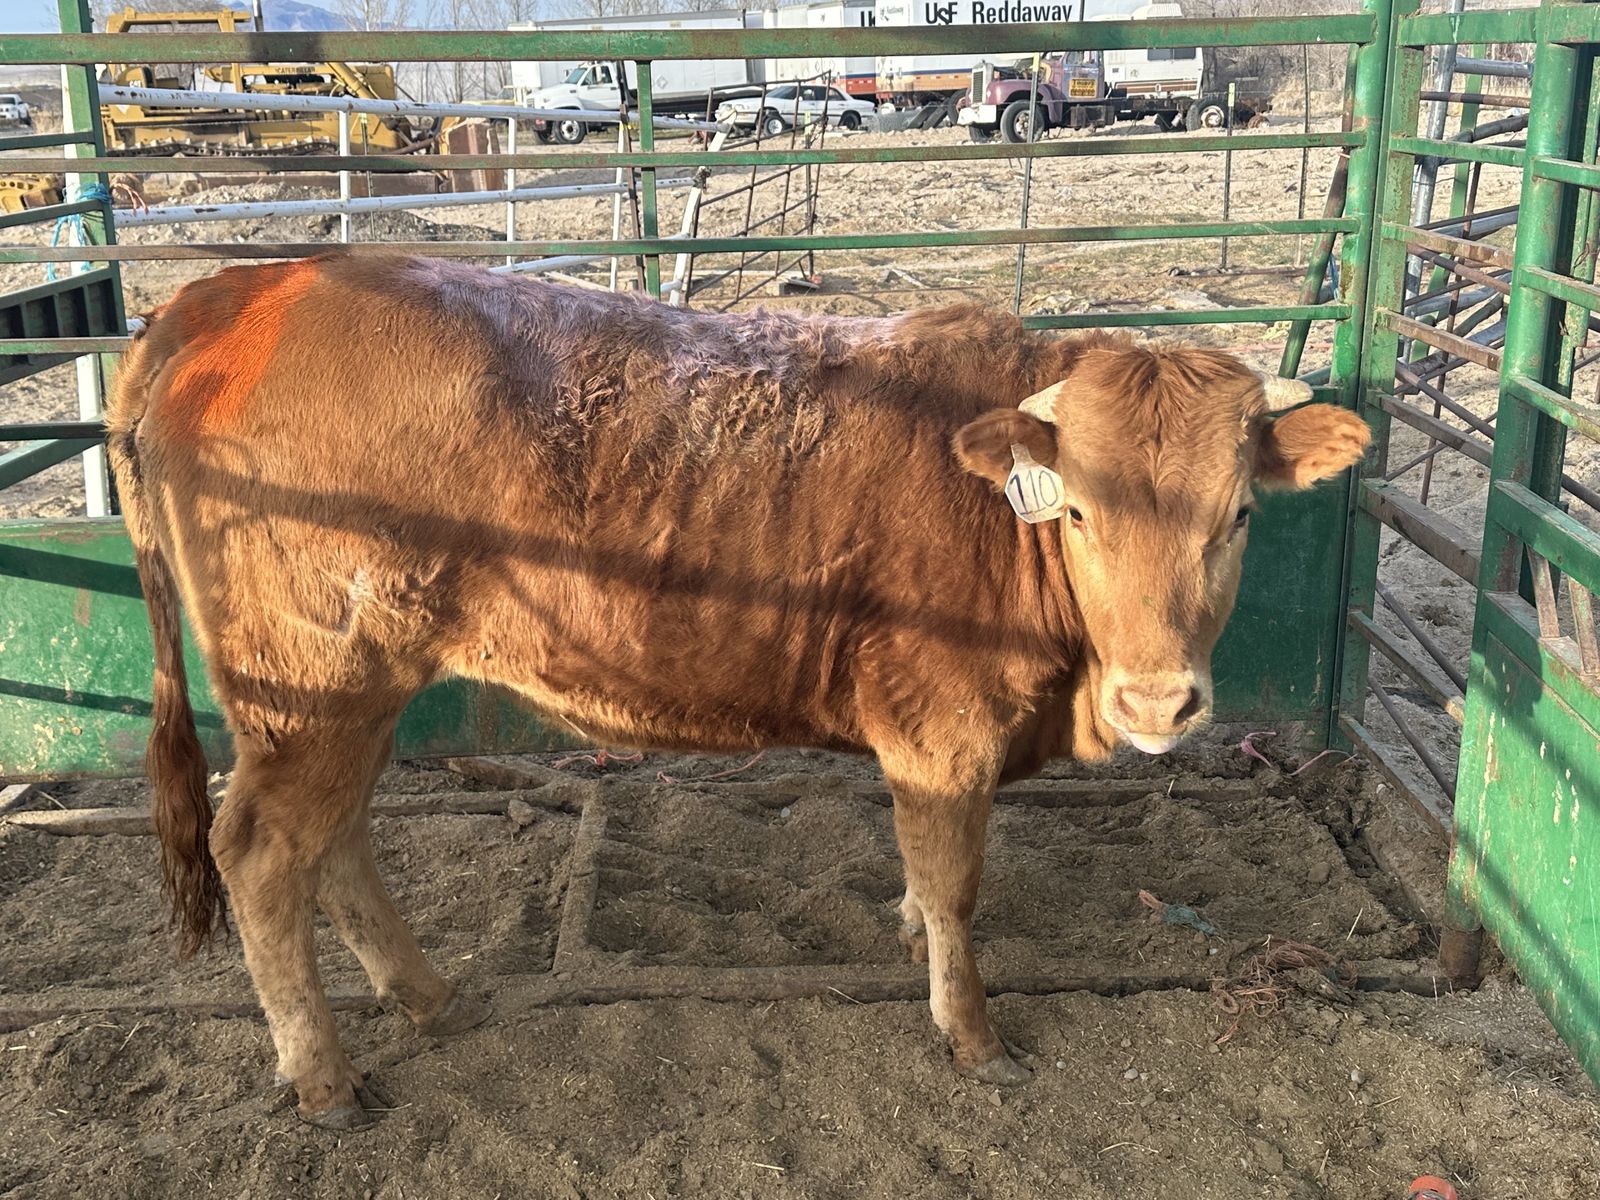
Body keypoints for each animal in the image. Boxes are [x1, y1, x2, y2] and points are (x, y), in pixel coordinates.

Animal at [106, 254, 1369, 1129]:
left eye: (1237, 515)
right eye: (1079, 512)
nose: (1159, 704)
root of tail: (244, 285)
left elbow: (922, 873)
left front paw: (909, 928)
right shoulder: (946, 734)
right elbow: (956, 886)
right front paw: (970, 1033)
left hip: (357, 690)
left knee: (339, 843)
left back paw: (428, 996)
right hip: (311, 686)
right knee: (265, 850)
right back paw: (324, 1078)